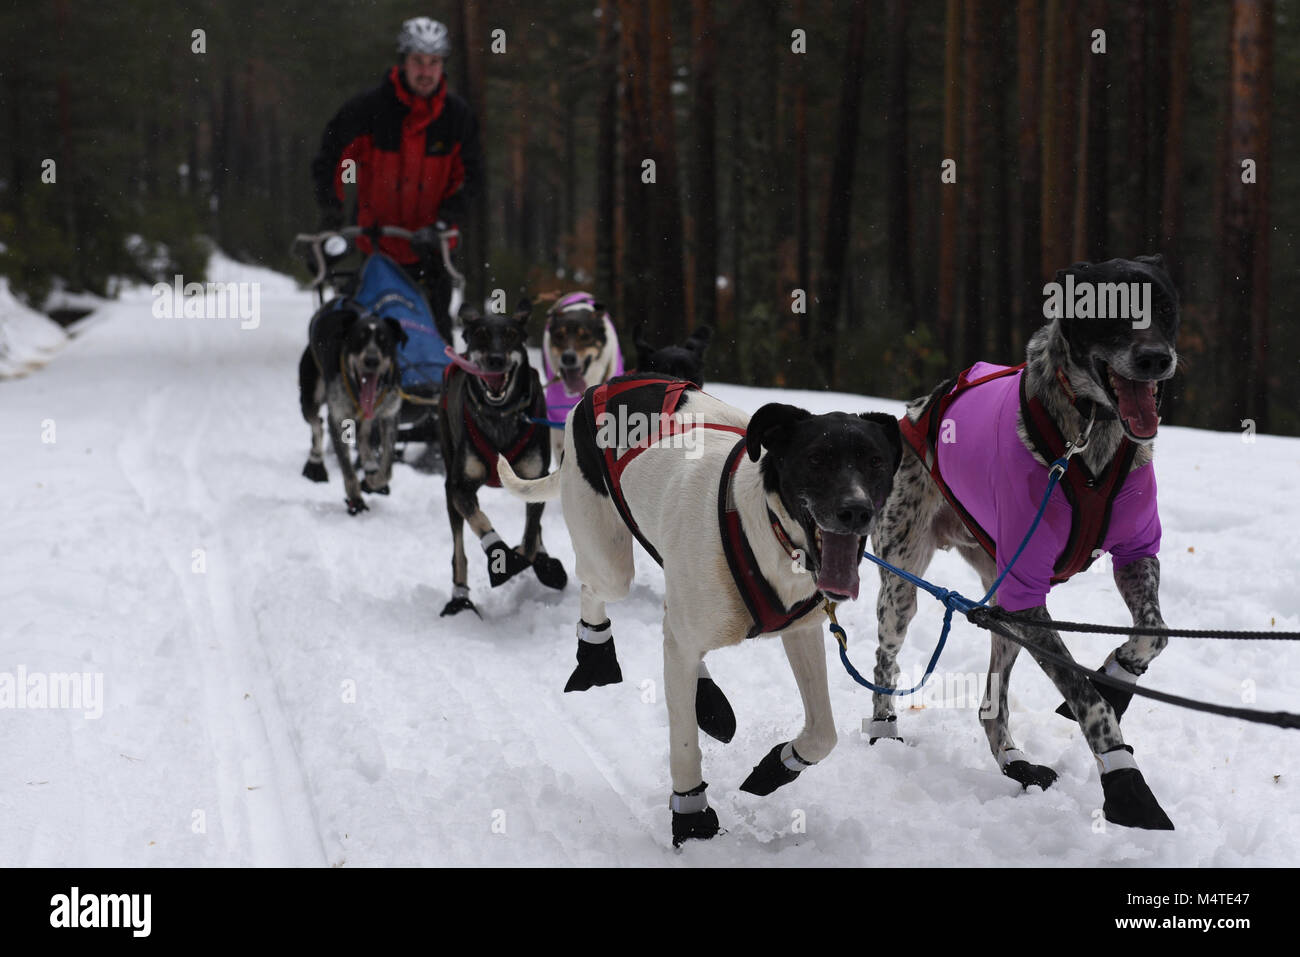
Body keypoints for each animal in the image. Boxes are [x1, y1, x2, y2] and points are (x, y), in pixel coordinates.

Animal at [299, 310, 405, 512]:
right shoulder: (338, 417)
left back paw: (370, 464)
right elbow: (347, 469)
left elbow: (387, 466)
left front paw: (373, 482)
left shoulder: (389, 415)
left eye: (384, 341)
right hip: (310, 398)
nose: (372, 360)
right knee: (317, 424)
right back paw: (316, 462)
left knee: (363, 436)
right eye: (358, 340)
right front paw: (355, 498)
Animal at [436, 306, 569, 621]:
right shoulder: (460, 487)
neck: (500, 417)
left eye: (510, 335)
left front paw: (531, 559)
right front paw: (501, 557)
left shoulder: (536, 478)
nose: (496, 359)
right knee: (459, 550)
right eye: (481, 334)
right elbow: (480, 521)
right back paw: (460, 599)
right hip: (449, 485)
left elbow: (530, 540)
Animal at [496, 374, 904, 842]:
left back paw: (708, 699)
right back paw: (595, 655)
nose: (856, 510)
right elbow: (685, 745)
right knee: (595, 588)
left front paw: (777, 766)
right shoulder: (689, 638)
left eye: (875, 461)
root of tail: (605, 386)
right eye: (817, 458)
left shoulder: (801, 632)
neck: (763, 531)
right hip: (609, 560)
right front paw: (692, 817)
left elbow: (823, 734)